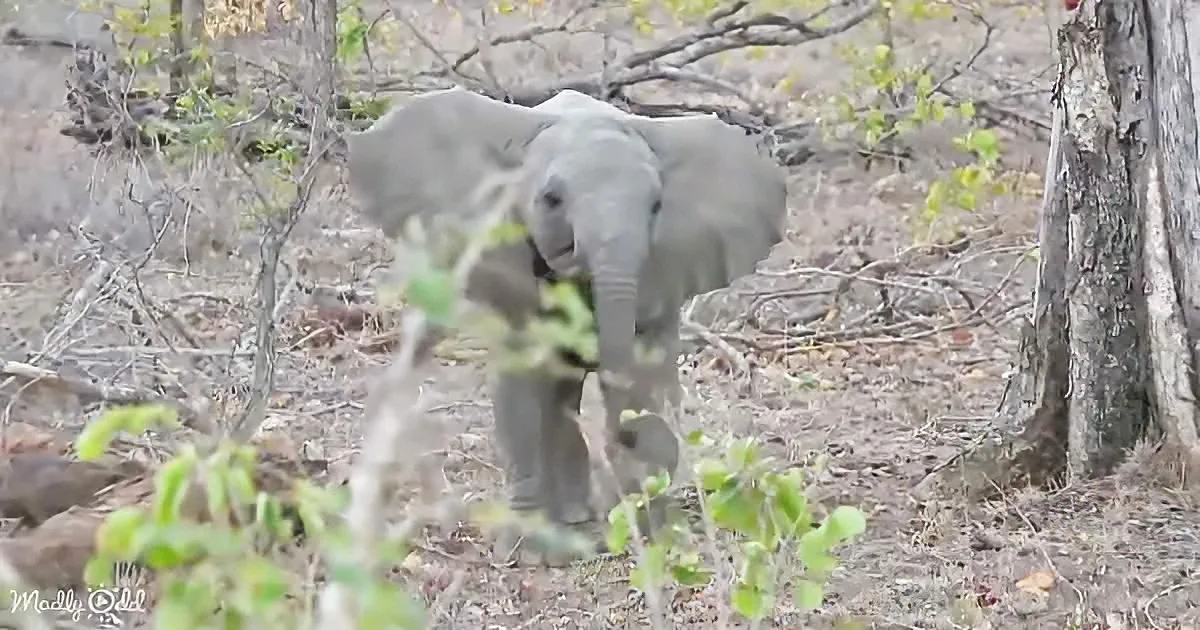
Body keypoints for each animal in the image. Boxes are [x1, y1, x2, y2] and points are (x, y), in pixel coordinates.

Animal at [346, 87, 788, 565]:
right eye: (552, 199)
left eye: (656, 206)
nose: (622, 438)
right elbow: (521, 390)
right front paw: (526, 555)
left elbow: (645, 376)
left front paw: (658, 540)